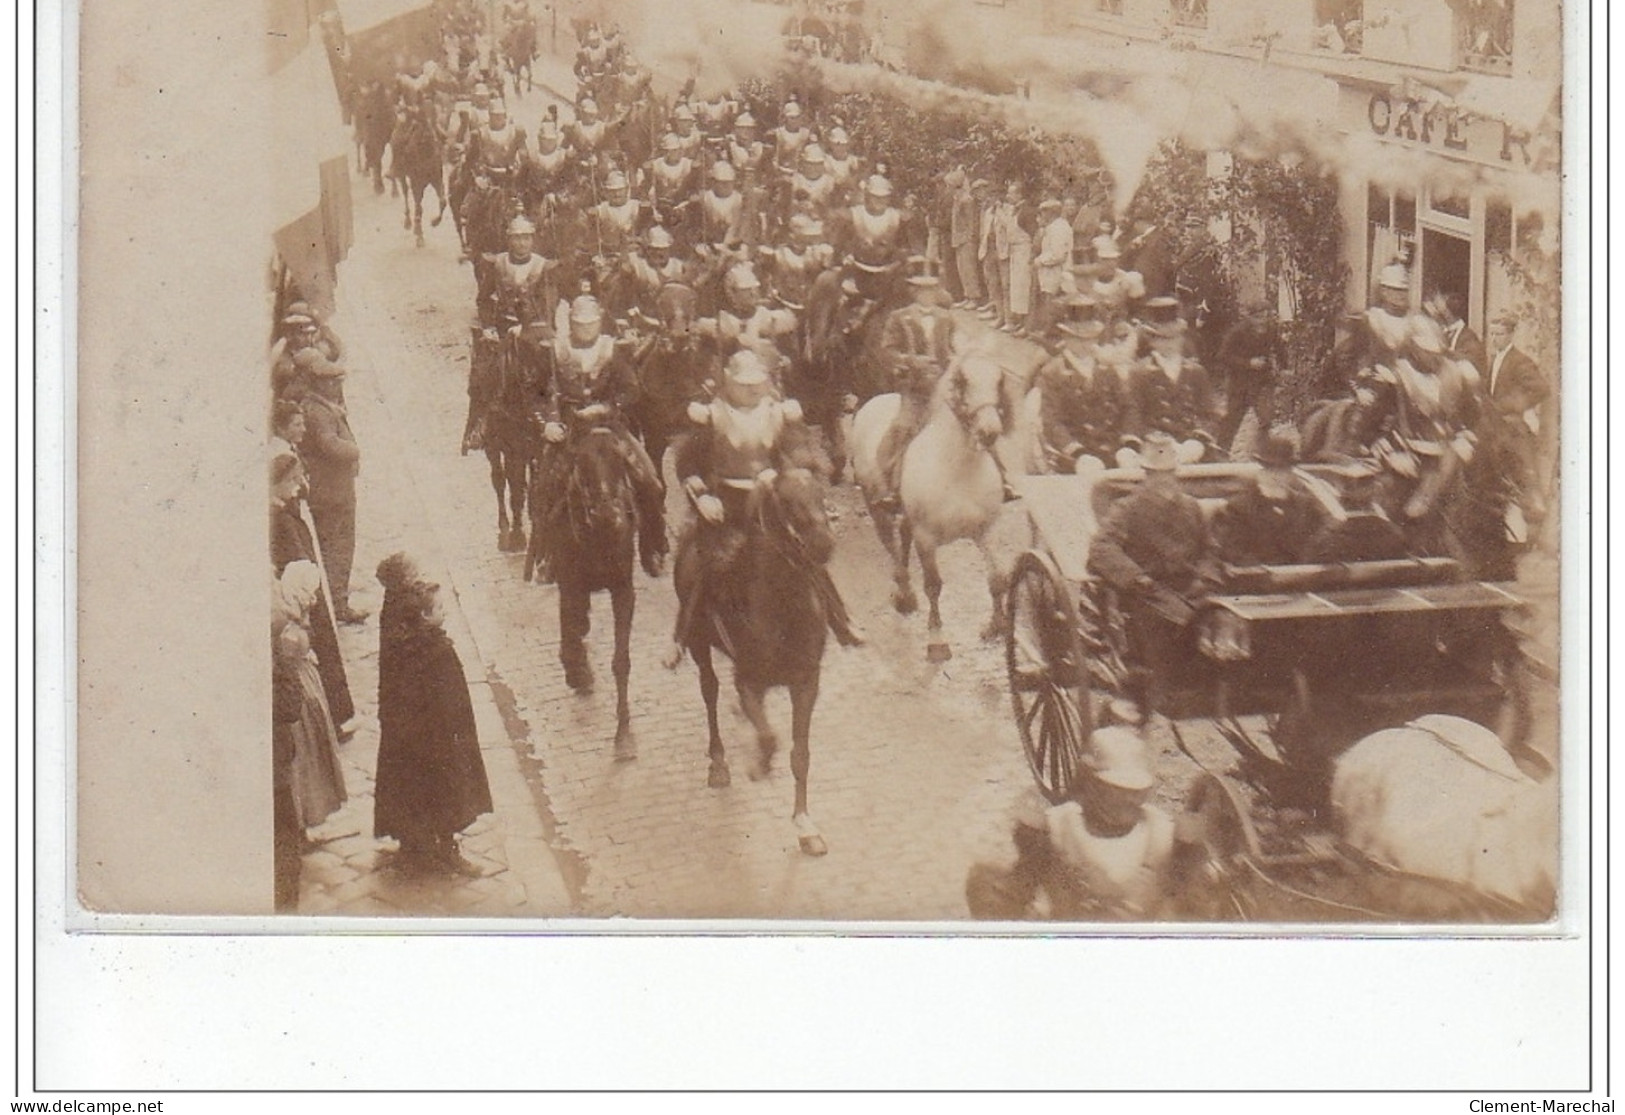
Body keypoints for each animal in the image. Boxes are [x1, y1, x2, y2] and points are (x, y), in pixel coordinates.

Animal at [851, 351, 1040, 663]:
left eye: (998, 381)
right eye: (962, 381)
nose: (990, 431)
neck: (958, 470)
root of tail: (875, 401)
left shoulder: (985, 530)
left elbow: (997, 579)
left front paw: (996, 625)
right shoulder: (926, 538)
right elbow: (933, 585)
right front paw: (937, 641)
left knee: (902, 538)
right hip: (877, 508)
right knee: (892, 547)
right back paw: (904, 594)